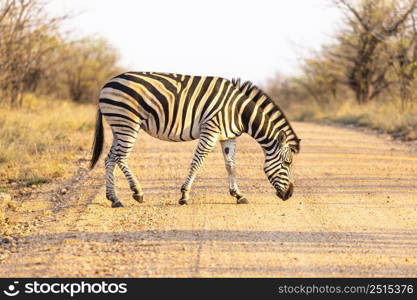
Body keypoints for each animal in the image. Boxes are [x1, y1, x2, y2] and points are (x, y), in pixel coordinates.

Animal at [90, 72, 300, 207]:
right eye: (287, 163)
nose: (290, 194)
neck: (239, 111)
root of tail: (107, 83)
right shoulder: (210, 130)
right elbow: (197, 162)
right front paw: (184, 195)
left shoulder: (228, 137)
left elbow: (231, 165)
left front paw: (238, 195)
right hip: (127, 124)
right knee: (121, 157)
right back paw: (137, 192)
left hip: (118, 127)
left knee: (110, 159)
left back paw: (114, 198)